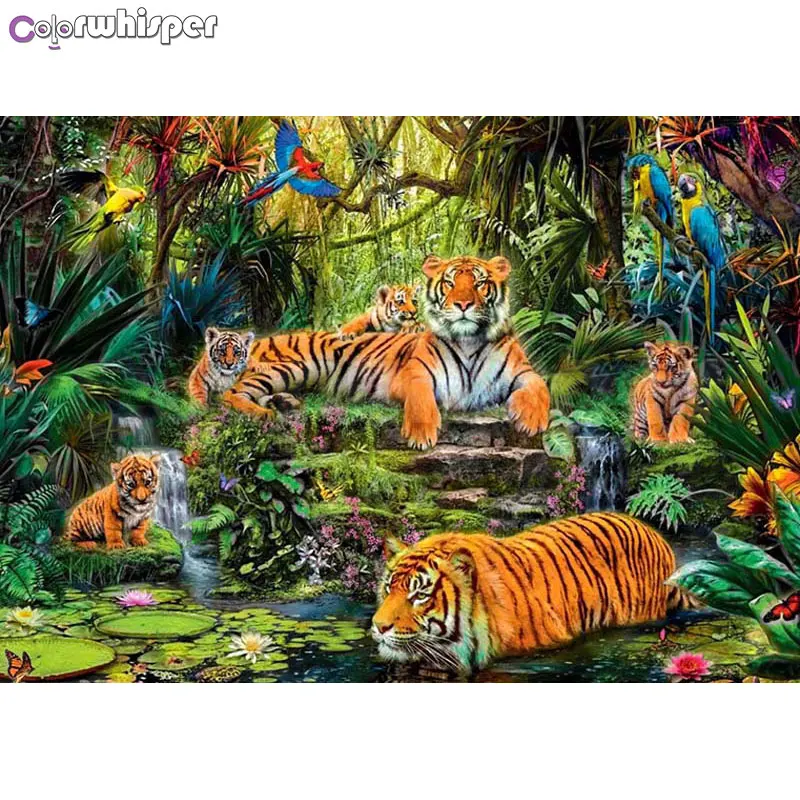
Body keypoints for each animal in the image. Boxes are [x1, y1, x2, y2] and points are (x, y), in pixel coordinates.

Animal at [222, 255, 550, 449]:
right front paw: (421, 434)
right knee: (230, 394)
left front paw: (530, 420)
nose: (463, 305)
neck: (469, 340)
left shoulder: (523, 371)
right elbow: (420, 396)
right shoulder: (414, 372)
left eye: (481, 283)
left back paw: (284, 402)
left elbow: (541, 387)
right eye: (450, 282)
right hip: (293, 366)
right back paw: (262, 413)